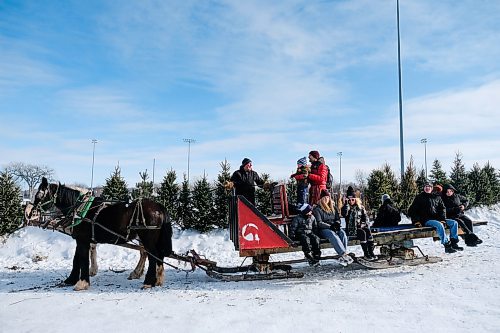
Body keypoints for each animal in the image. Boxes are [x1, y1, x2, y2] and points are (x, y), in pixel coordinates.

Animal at [31, 178, 173, 290]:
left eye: (39, 195)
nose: (31, 212)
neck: (81, 209)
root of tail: (158, 206)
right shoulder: (81, 239)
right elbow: (76, 259)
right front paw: (70, 280)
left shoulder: (82, 239)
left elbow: (82, 259)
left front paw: (82, 283)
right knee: (155, 255)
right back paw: (157, 279)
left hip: (147, 238)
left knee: (153, 256)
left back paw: (148, 282)